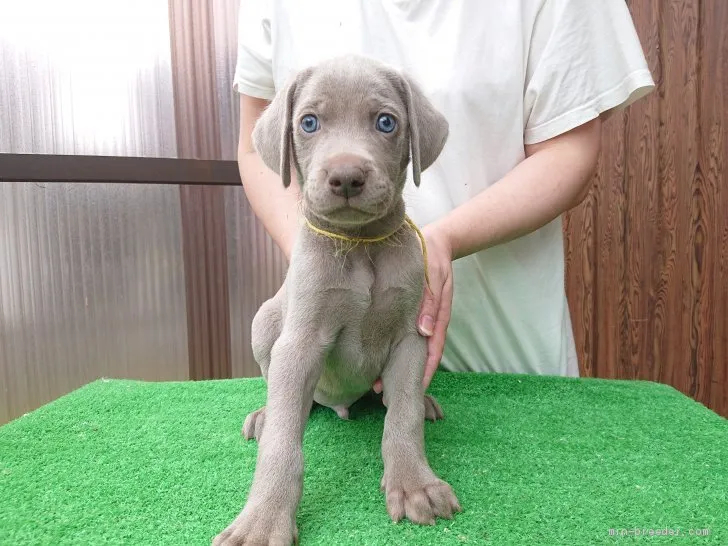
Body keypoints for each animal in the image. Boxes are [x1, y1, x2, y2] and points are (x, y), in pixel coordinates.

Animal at [212, 52, 460, 544]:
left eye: (386, 122)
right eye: (309, 122)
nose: (347, 176)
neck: (360, 243)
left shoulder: (411, 338)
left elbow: (401, 415)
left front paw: (414, 484)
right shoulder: (300, 341)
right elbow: (283, 442)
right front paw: (263, 519)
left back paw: (424, 403)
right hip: (264, 322)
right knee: (280, 395)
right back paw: (264, 414)